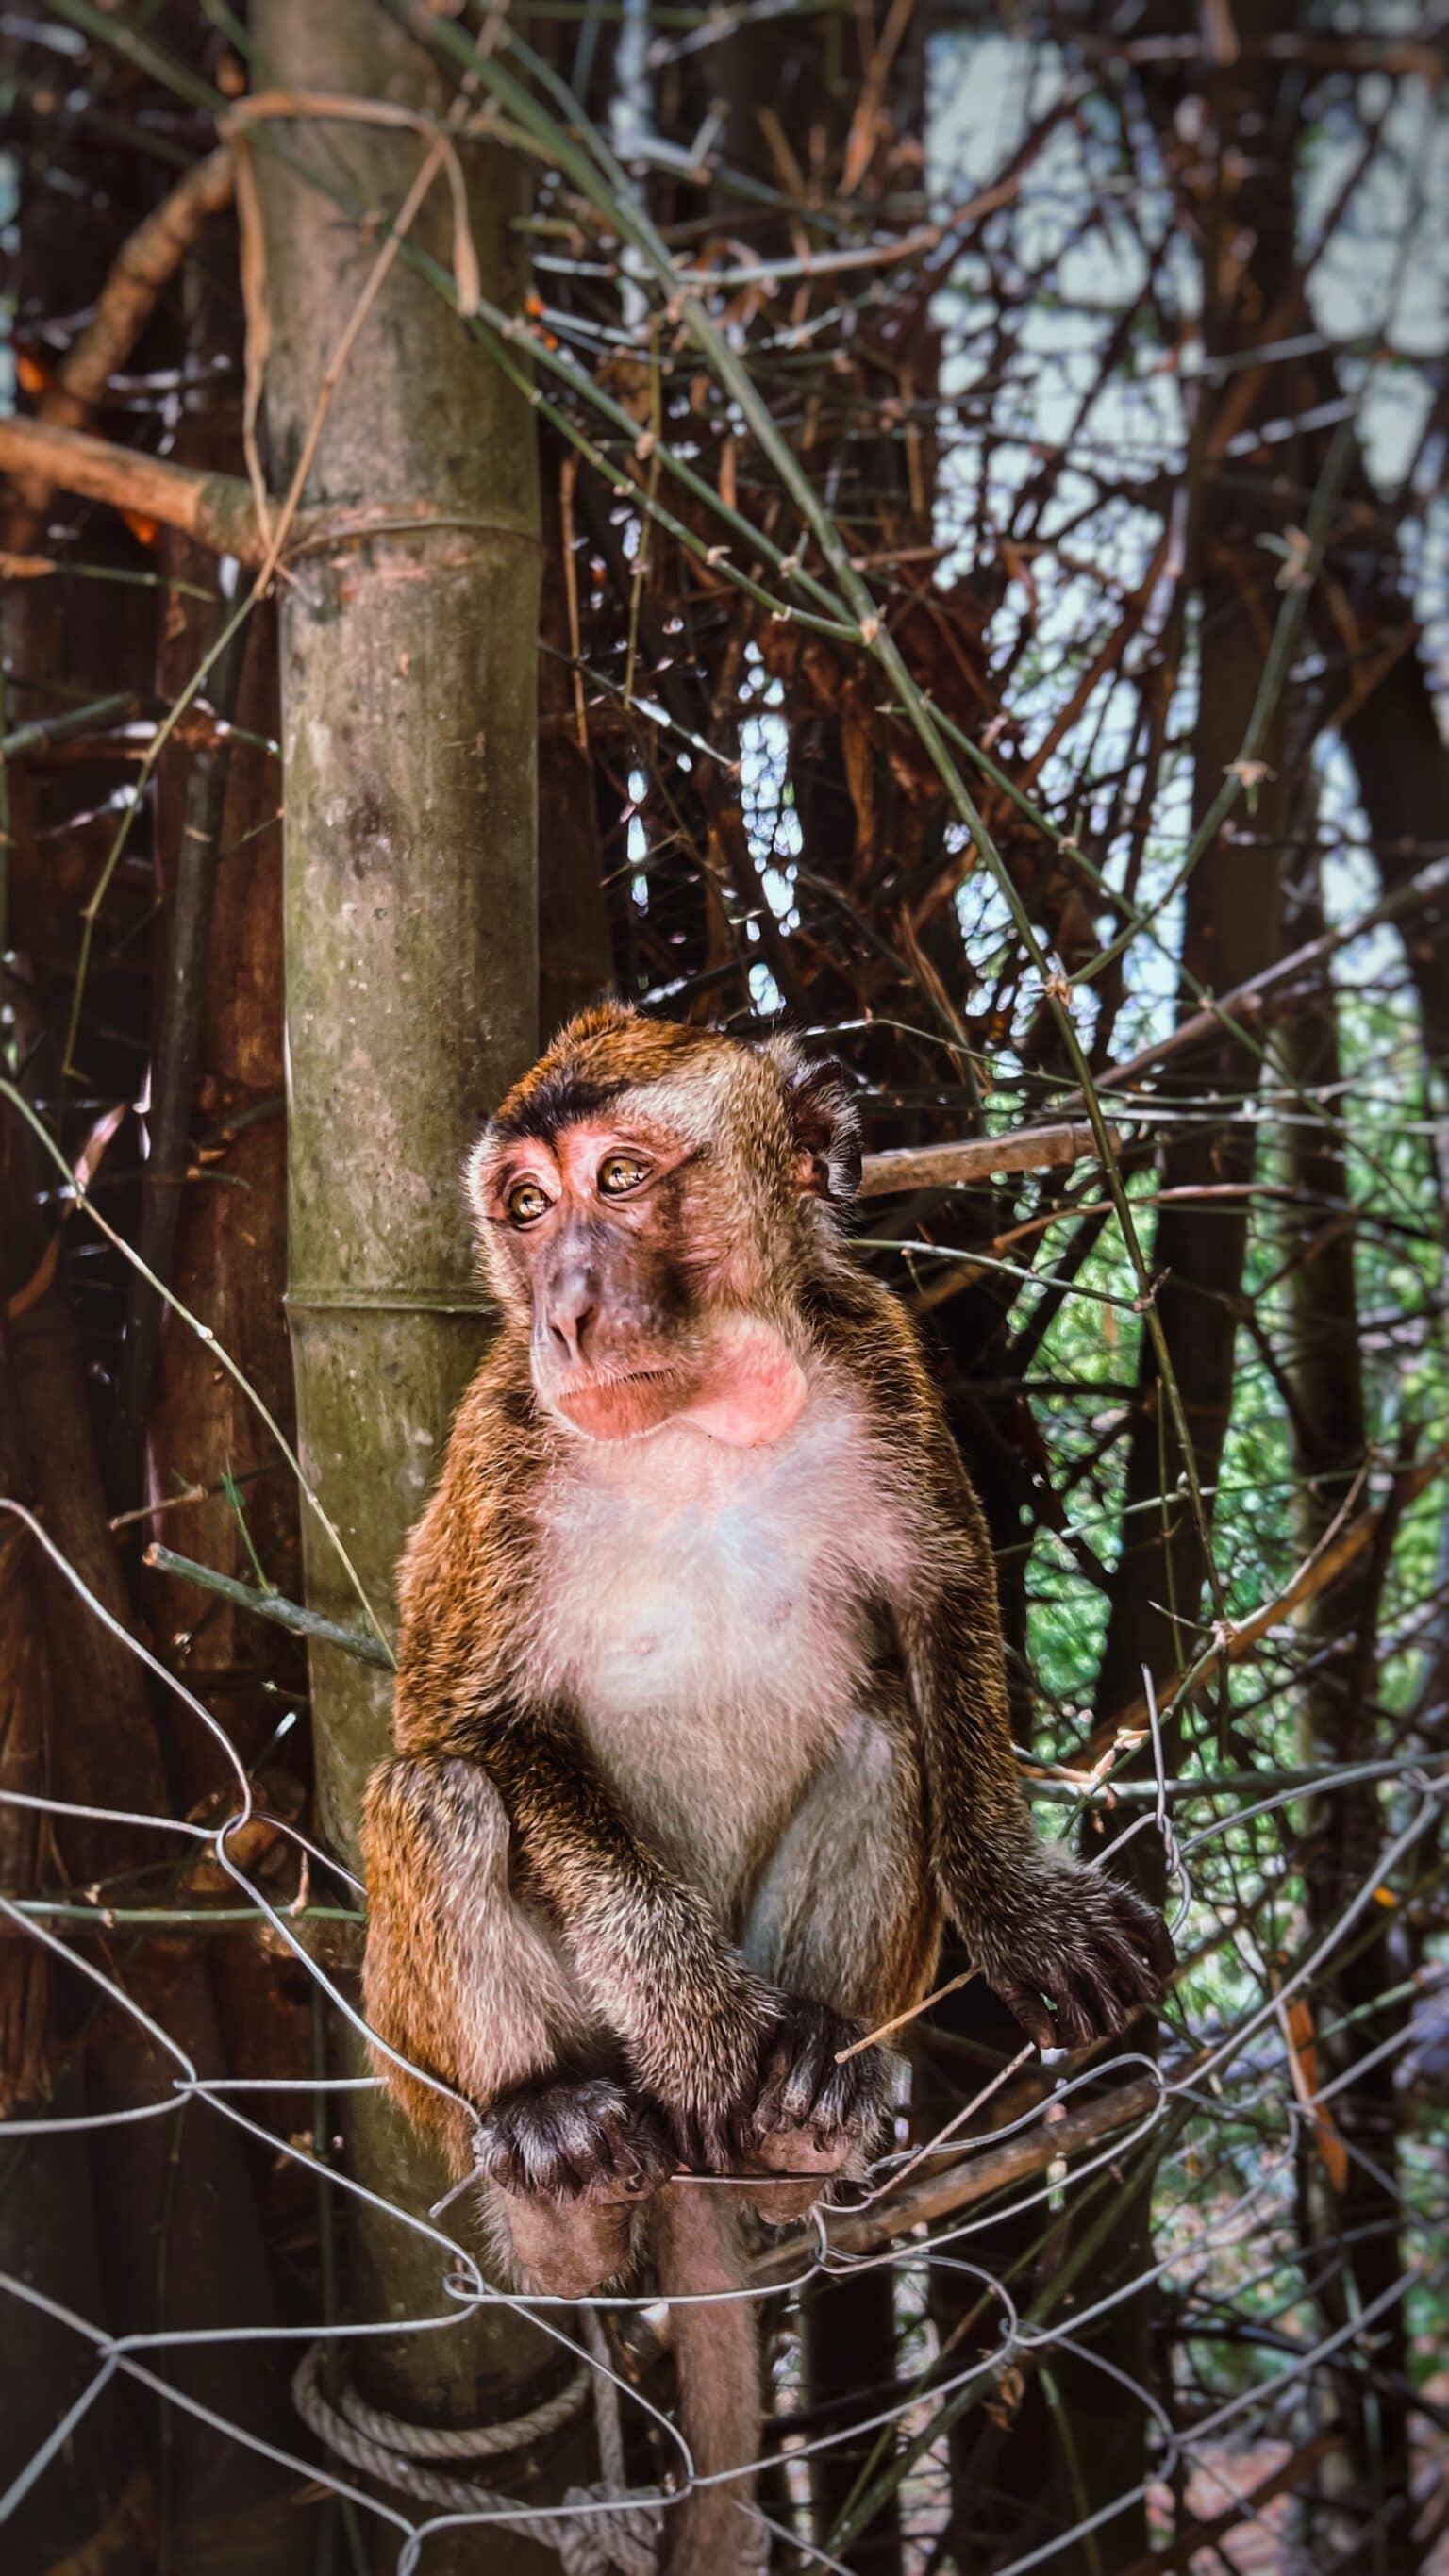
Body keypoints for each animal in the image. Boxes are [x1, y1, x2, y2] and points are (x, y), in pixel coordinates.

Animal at [360, 1001, 1174, 2574]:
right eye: (527, 1203)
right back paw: (557, 2156)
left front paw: (1018, 1903)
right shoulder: (501, 1446)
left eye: (621, 1178)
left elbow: (941, 1617)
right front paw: (681, 1996)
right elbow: (464, 1715)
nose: (565, 1309)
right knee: (439, 1794)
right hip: (424, 2071)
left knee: (885, 1738)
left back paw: (799, 2102)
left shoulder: (884, 1369)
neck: (697, 1420)